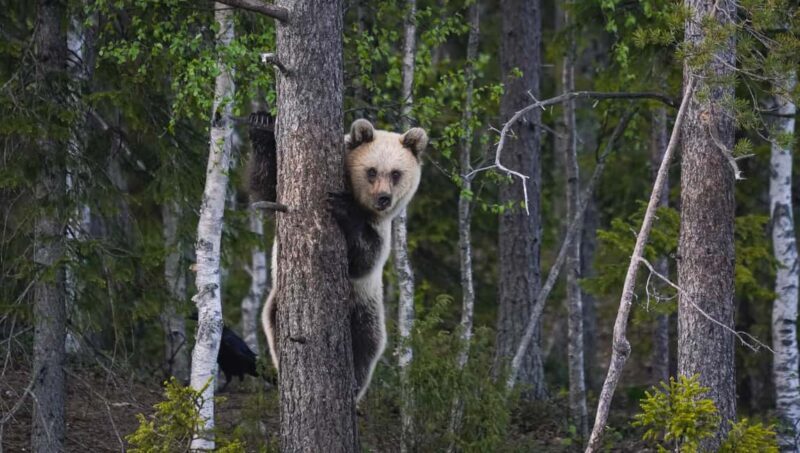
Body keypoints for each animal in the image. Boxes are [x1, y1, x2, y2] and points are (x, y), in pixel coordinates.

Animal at [248, 113, 427, 401]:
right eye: (372, 171)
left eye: (396, 173)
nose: (383, 198)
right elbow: (268, 187)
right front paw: (261, 124)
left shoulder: (378, 230)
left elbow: (364, 259)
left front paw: (343, 208)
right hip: (280, 300)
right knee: (275, 322)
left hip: (365, 304)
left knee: (367, 342)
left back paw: (353, 383)